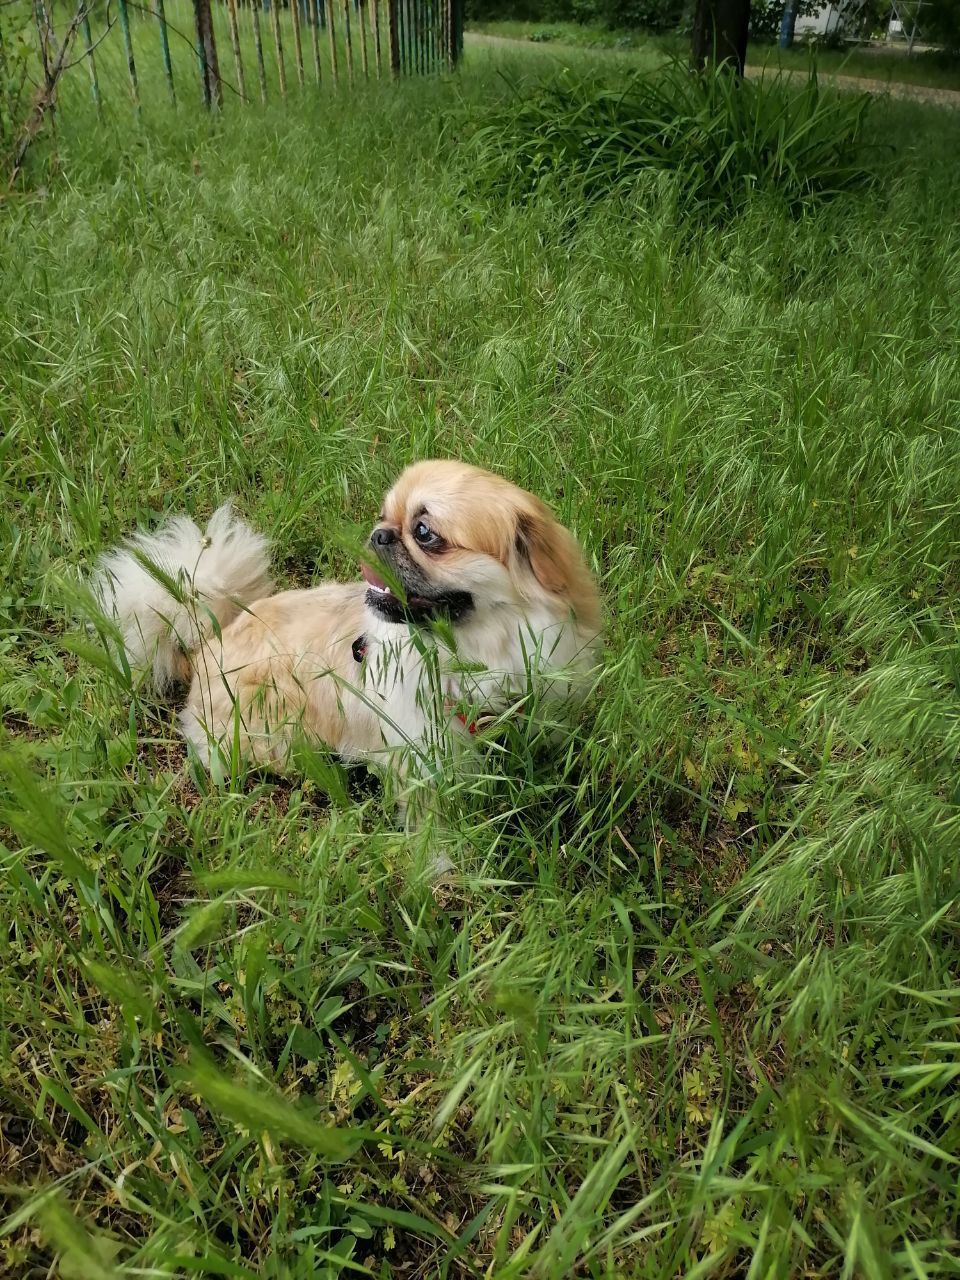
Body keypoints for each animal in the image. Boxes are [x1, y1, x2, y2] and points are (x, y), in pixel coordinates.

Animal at [90, 460, 601, 839]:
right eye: (384, 516)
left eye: (425, 533)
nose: (379, 533)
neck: (474, 654)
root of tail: (205, 646)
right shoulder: (424, 765)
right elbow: (435, 829)